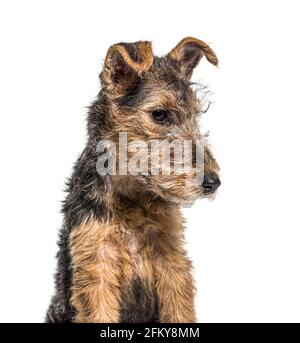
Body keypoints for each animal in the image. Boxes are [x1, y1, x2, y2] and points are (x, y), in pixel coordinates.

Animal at [46, 37, 220, 326]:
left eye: (196, 113)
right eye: (160, 114)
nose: (213, 182)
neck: (133, 196)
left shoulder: (173, 262)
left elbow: (180, 310)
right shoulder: (97, 266)